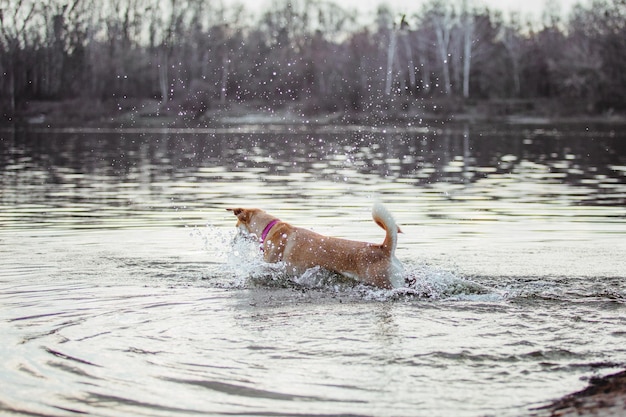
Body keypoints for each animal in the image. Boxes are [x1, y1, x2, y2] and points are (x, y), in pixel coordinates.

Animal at [227, 203, 402, 288]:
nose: (232, 242)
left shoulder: (274, 265)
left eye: (236, 227)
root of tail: (383, 248)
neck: (270, 228)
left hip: (381, 282)